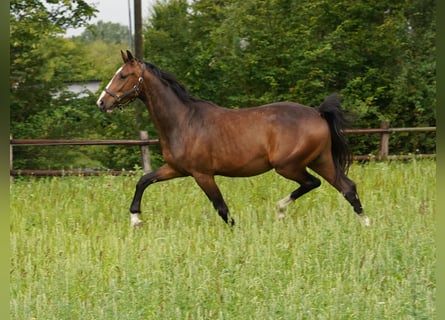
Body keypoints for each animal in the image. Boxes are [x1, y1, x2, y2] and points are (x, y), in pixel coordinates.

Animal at [96, 50, 368, 228]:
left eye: (123, 76)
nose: (102, 102)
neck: (183, 120)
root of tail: (318, 113)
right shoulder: (176, 169)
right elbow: (143, 180)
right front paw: (135, 219)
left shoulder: (202, 174)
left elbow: (221, 208)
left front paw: (235, 232)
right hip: (321, 160)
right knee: (347, 187)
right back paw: (366, 225)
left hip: (288, 166)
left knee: (313, 183)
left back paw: (280, 210)